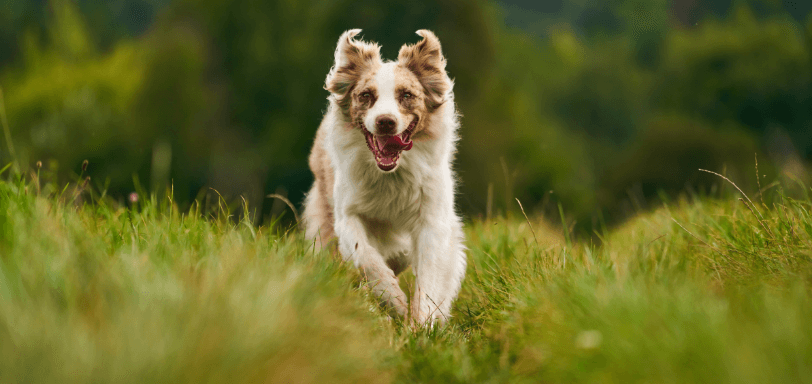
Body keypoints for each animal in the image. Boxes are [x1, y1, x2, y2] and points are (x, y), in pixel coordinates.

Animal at [302, 28, 470, 326]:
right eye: (366, 95)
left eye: (406, 95)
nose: (385, 122)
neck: (392, 176)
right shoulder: (346, 216)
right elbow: (366, 256)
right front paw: (395, 302)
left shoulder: (432, 219)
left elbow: (429, 276)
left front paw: (422, 325)